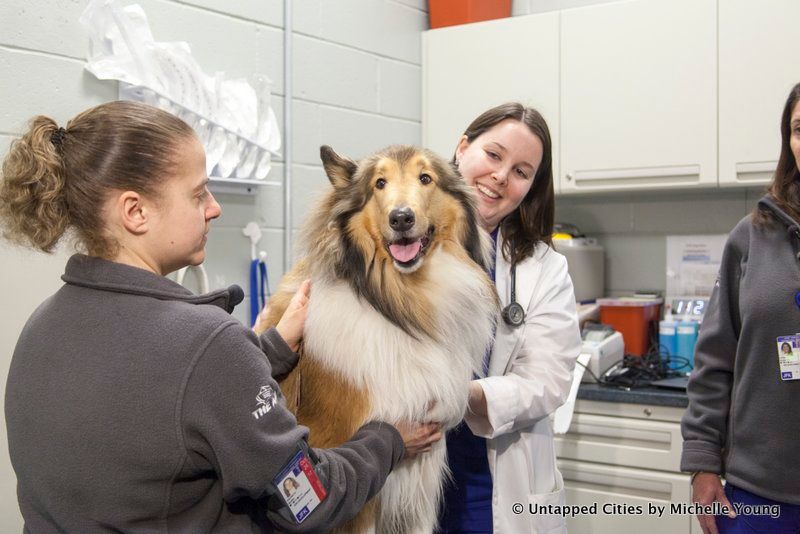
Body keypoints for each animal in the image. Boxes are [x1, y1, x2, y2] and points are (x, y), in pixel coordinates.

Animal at [258, 147, 494, 534]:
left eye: (426, 178)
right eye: (379, 183)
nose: (401, 218)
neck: (399, 303)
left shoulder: (418, 487)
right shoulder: (359, 491)